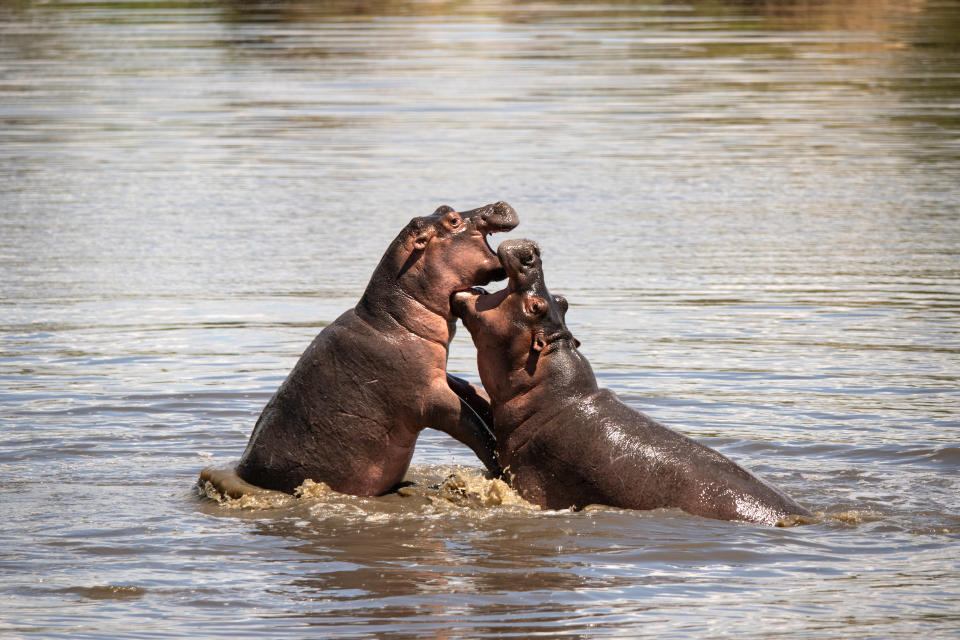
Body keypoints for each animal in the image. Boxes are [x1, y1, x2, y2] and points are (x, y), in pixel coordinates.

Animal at [214, 202, 520, 498]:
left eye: (444, 208)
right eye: (453, 220)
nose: (498, 203)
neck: (394, 320)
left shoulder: (438, 374)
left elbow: (472, 393)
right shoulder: (428, 398)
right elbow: (472, 425)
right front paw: (499, 467)